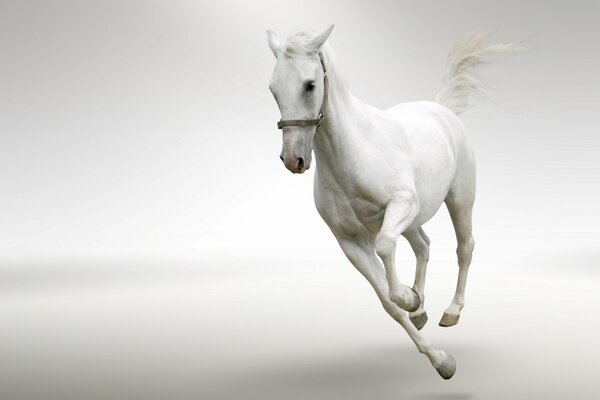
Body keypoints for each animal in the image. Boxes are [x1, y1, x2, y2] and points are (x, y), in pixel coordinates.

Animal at [268, 25, 520, 378]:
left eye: (310, 84)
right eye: (273, 89)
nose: (293, 159)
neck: (354, 153)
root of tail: (441, 109)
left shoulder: (401, 205)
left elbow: (386, 247)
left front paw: (411, 301)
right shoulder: (349, 242)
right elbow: (388, 303)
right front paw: (440, 357)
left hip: (459, 199)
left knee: (464, 248)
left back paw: (451, 311)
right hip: (415, 220)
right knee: (424, 246)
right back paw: (421, 309)